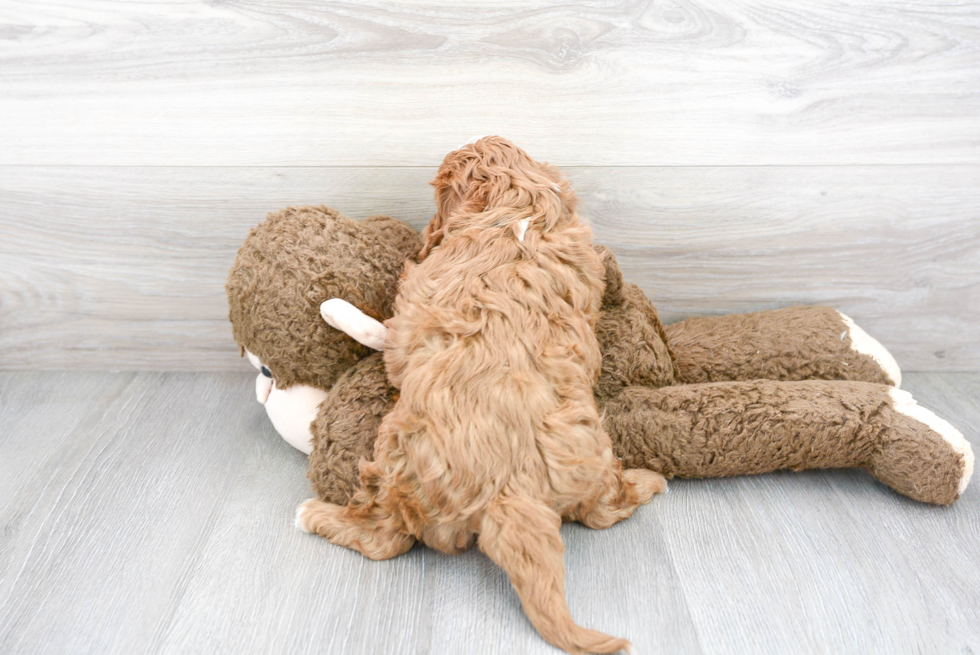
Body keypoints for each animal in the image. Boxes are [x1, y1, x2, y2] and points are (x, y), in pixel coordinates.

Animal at [298, 136, 668, 652]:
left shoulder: (409, 316)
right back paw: (649, 481)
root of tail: (512, 490)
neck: (521, 211)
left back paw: (314, 514)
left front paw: (334, 309)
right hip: (592, 453)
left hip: (395, 454)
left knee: (385, 538)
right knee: (604, 509)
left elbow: (379, 332)